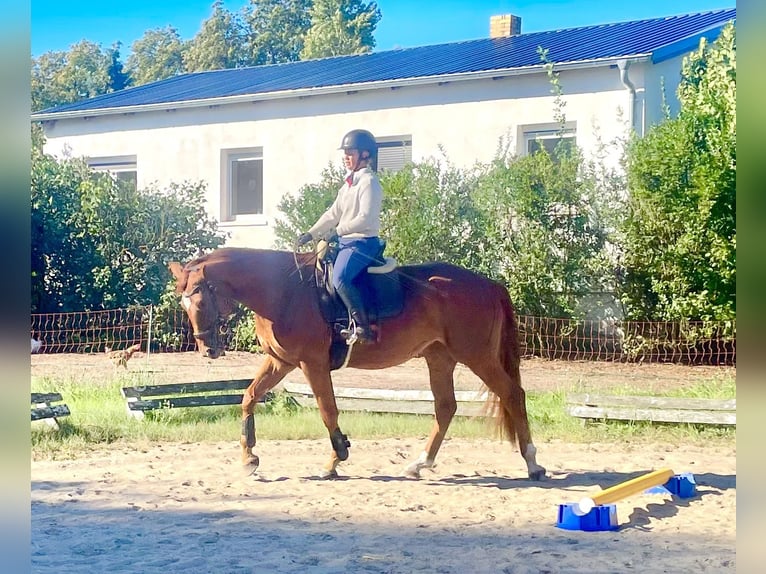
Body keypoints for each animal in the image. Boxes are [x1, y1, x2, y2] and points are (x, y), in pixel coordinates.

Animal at [169, 247, 546, 481]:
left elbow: (327, 410)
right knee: (445, 407)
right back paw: (419, 464)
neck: (283, 291)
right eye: (182, 302)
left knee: (513, 394)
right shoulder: (280, 362)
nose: (208, 349)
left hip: (476, 355)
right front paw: (249, 459)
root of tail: (489, 284)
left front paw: (335, 458)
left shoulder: (311, 363)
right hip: (440, 357)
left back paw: (532, 462)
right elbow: (248, 398)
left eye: (199, 298)